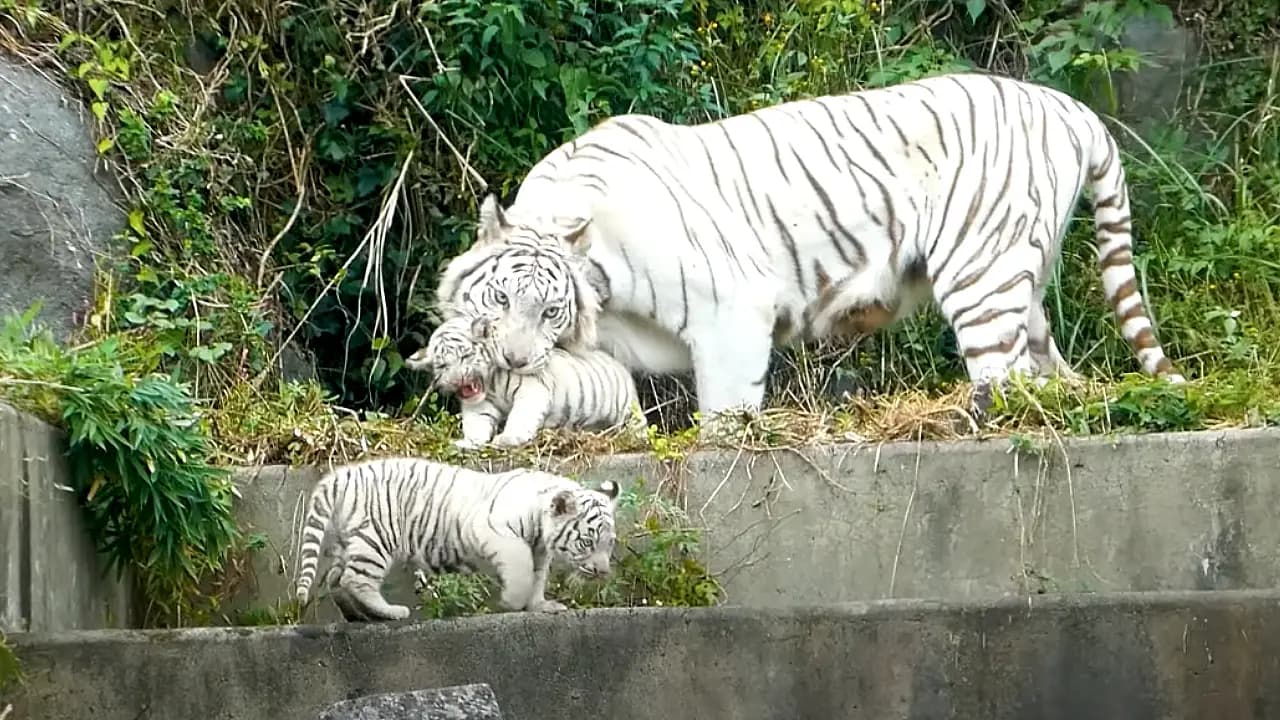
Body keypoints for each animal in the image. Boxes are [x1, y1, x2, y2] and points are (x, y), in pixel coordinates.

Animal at [295, 456, 624, 620]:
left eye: (608, 544)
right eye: (587, 542)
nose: (603, 572)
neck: (540, 526)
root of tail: (340, 477)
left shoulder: (540, 550)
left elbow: (537, 576)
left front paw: (540, 605)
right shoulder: (495, 532)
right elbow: (521, 570)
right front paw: (512, 602)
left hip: (348, 540)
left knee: (335, 578)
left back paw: (361, 616)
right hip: (377, 537)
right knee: (356, 579)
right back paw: (391, 612)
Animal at [435, 71, 1182, 420]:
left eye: (550, 309)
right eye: (499, 301)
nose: (516, 358)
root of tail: (1073, 109)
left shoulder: (732, 312)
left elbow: (724, 413)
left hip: (982, 273)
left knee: (1008, 379)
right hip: (1018, 276)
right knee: (1051, 371)